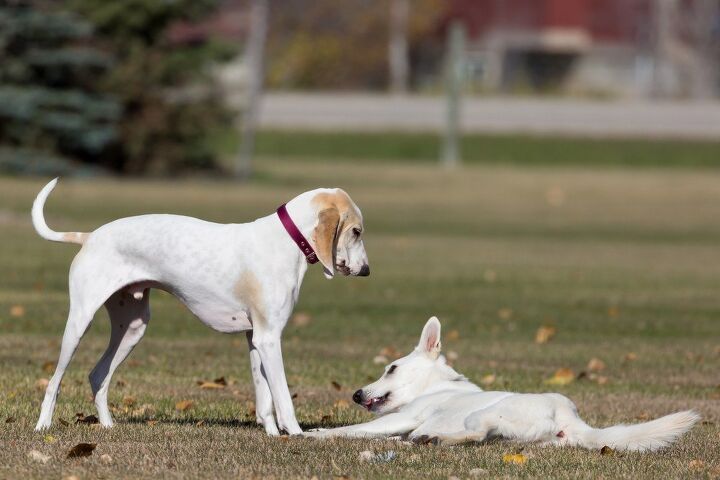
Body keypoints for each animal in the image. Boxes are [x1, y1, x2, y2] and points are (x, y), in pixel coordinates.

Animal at [32, 179, 372, 436]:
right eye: (356, 231)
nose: (367, 271)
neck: (286, 241)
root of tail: (90, 237)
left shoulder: (255, 339)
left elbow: (264, 400)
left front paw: (273, 434)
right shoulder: (269, 338)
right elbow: (284, 398)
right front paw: (297, 435)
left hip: (132, 329)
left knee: (98, 375)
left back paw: (107, 426)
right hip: (80, 324)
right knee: (55, 382)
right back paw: (43, 426)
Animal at [306, 316, 700, 452]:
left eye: (391, 368)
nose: (356, 394)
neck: (438, 387)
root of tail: (570, 418)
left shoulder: (403, 417)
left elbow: (350, 429)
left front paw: (315, 434)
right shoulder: (396, 424)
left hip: (484, 416)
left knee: (476, 432)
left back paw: (436, 438)